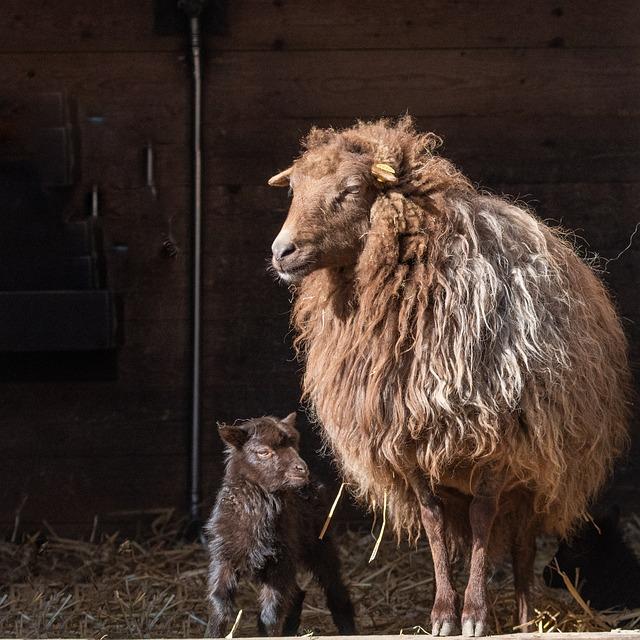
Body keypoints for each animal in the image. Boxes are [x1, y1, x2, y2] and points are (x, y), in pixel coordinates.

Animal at [264, 119, 632, 636]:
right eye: (294, 189)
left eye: (352, 189)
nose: (282, 252)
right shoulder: (408, 443)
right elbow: (434, 524)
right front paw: (443, 613)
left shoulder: (498, 444)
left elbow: (482, 521)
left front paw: (474, 614)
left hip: (537, 473)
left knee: (521, 542)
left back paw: (523, 617)